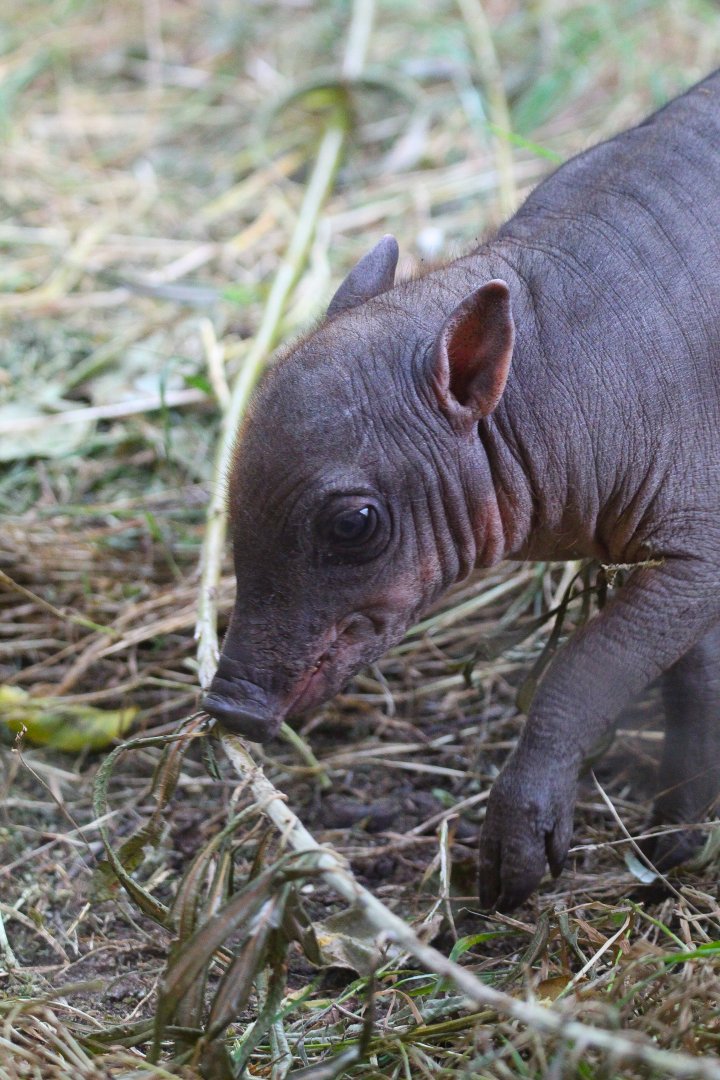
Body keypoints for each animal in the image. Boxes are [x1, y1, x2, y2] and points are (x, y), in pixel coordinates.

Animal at [203, 69, 720, 911]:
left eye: (355, 523)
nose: (228, 706)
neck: (559, 370)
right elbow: (692, 676)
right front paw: (675, 839)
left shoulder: (699, 553)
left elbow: (586, 666)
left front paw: (515, 852)